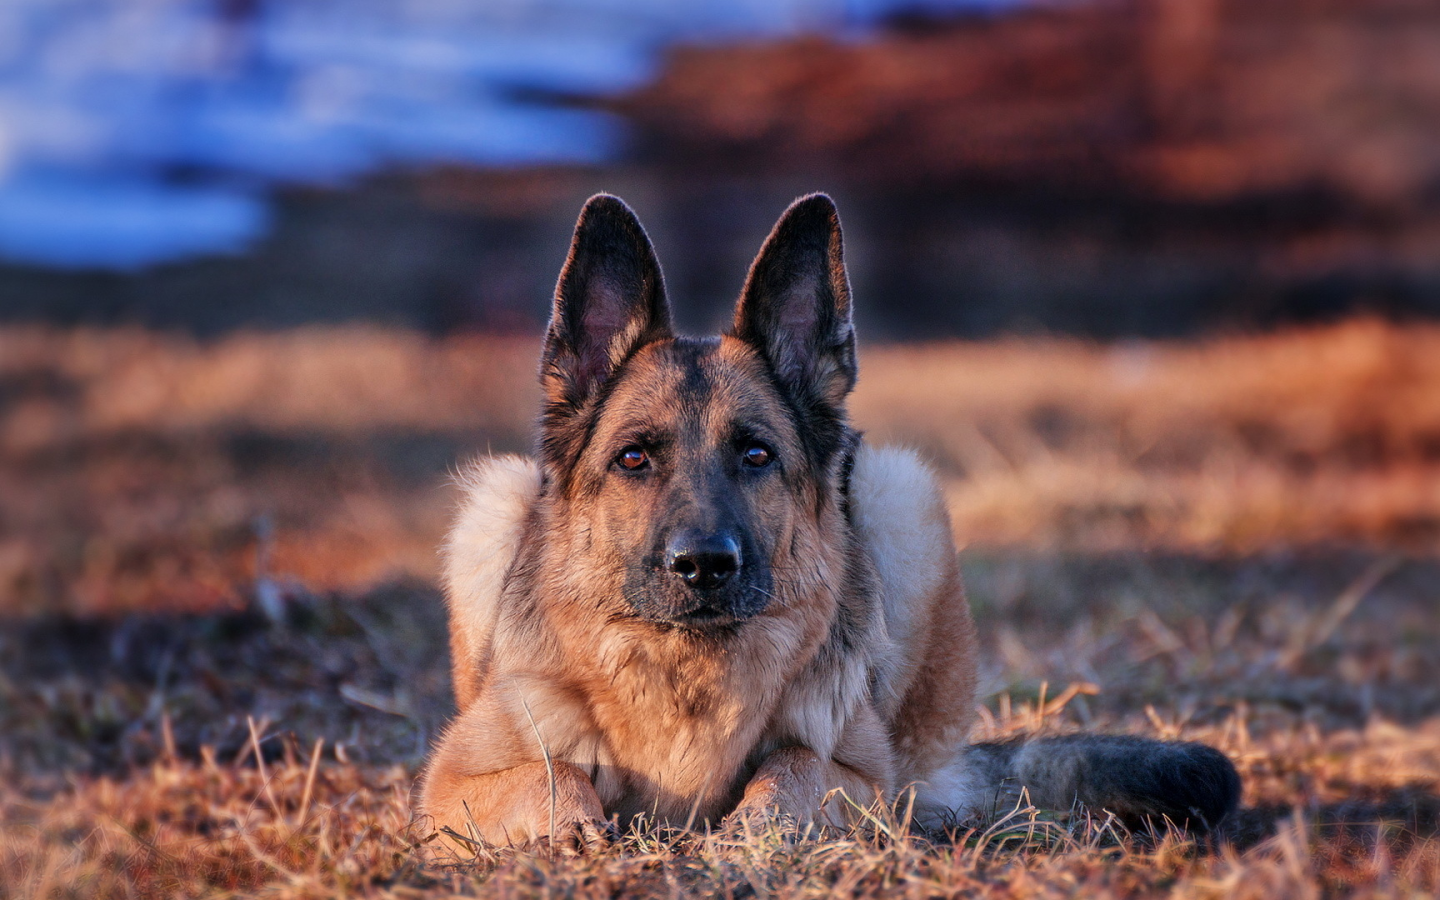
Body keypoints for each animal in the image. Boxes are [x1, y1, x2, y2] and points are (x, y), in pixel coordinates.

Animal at [411, 192, 1244, 852]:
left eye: (755, 454)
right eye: (634, 458)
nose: (704, 565)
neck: (687, 671)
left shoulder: (861, 777)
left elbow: (796, 766)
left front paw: (758, 826)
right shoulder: (450, 783)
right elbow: (547, 777)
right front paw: (575, 826)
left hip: (901, 494)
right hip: (490, 500)